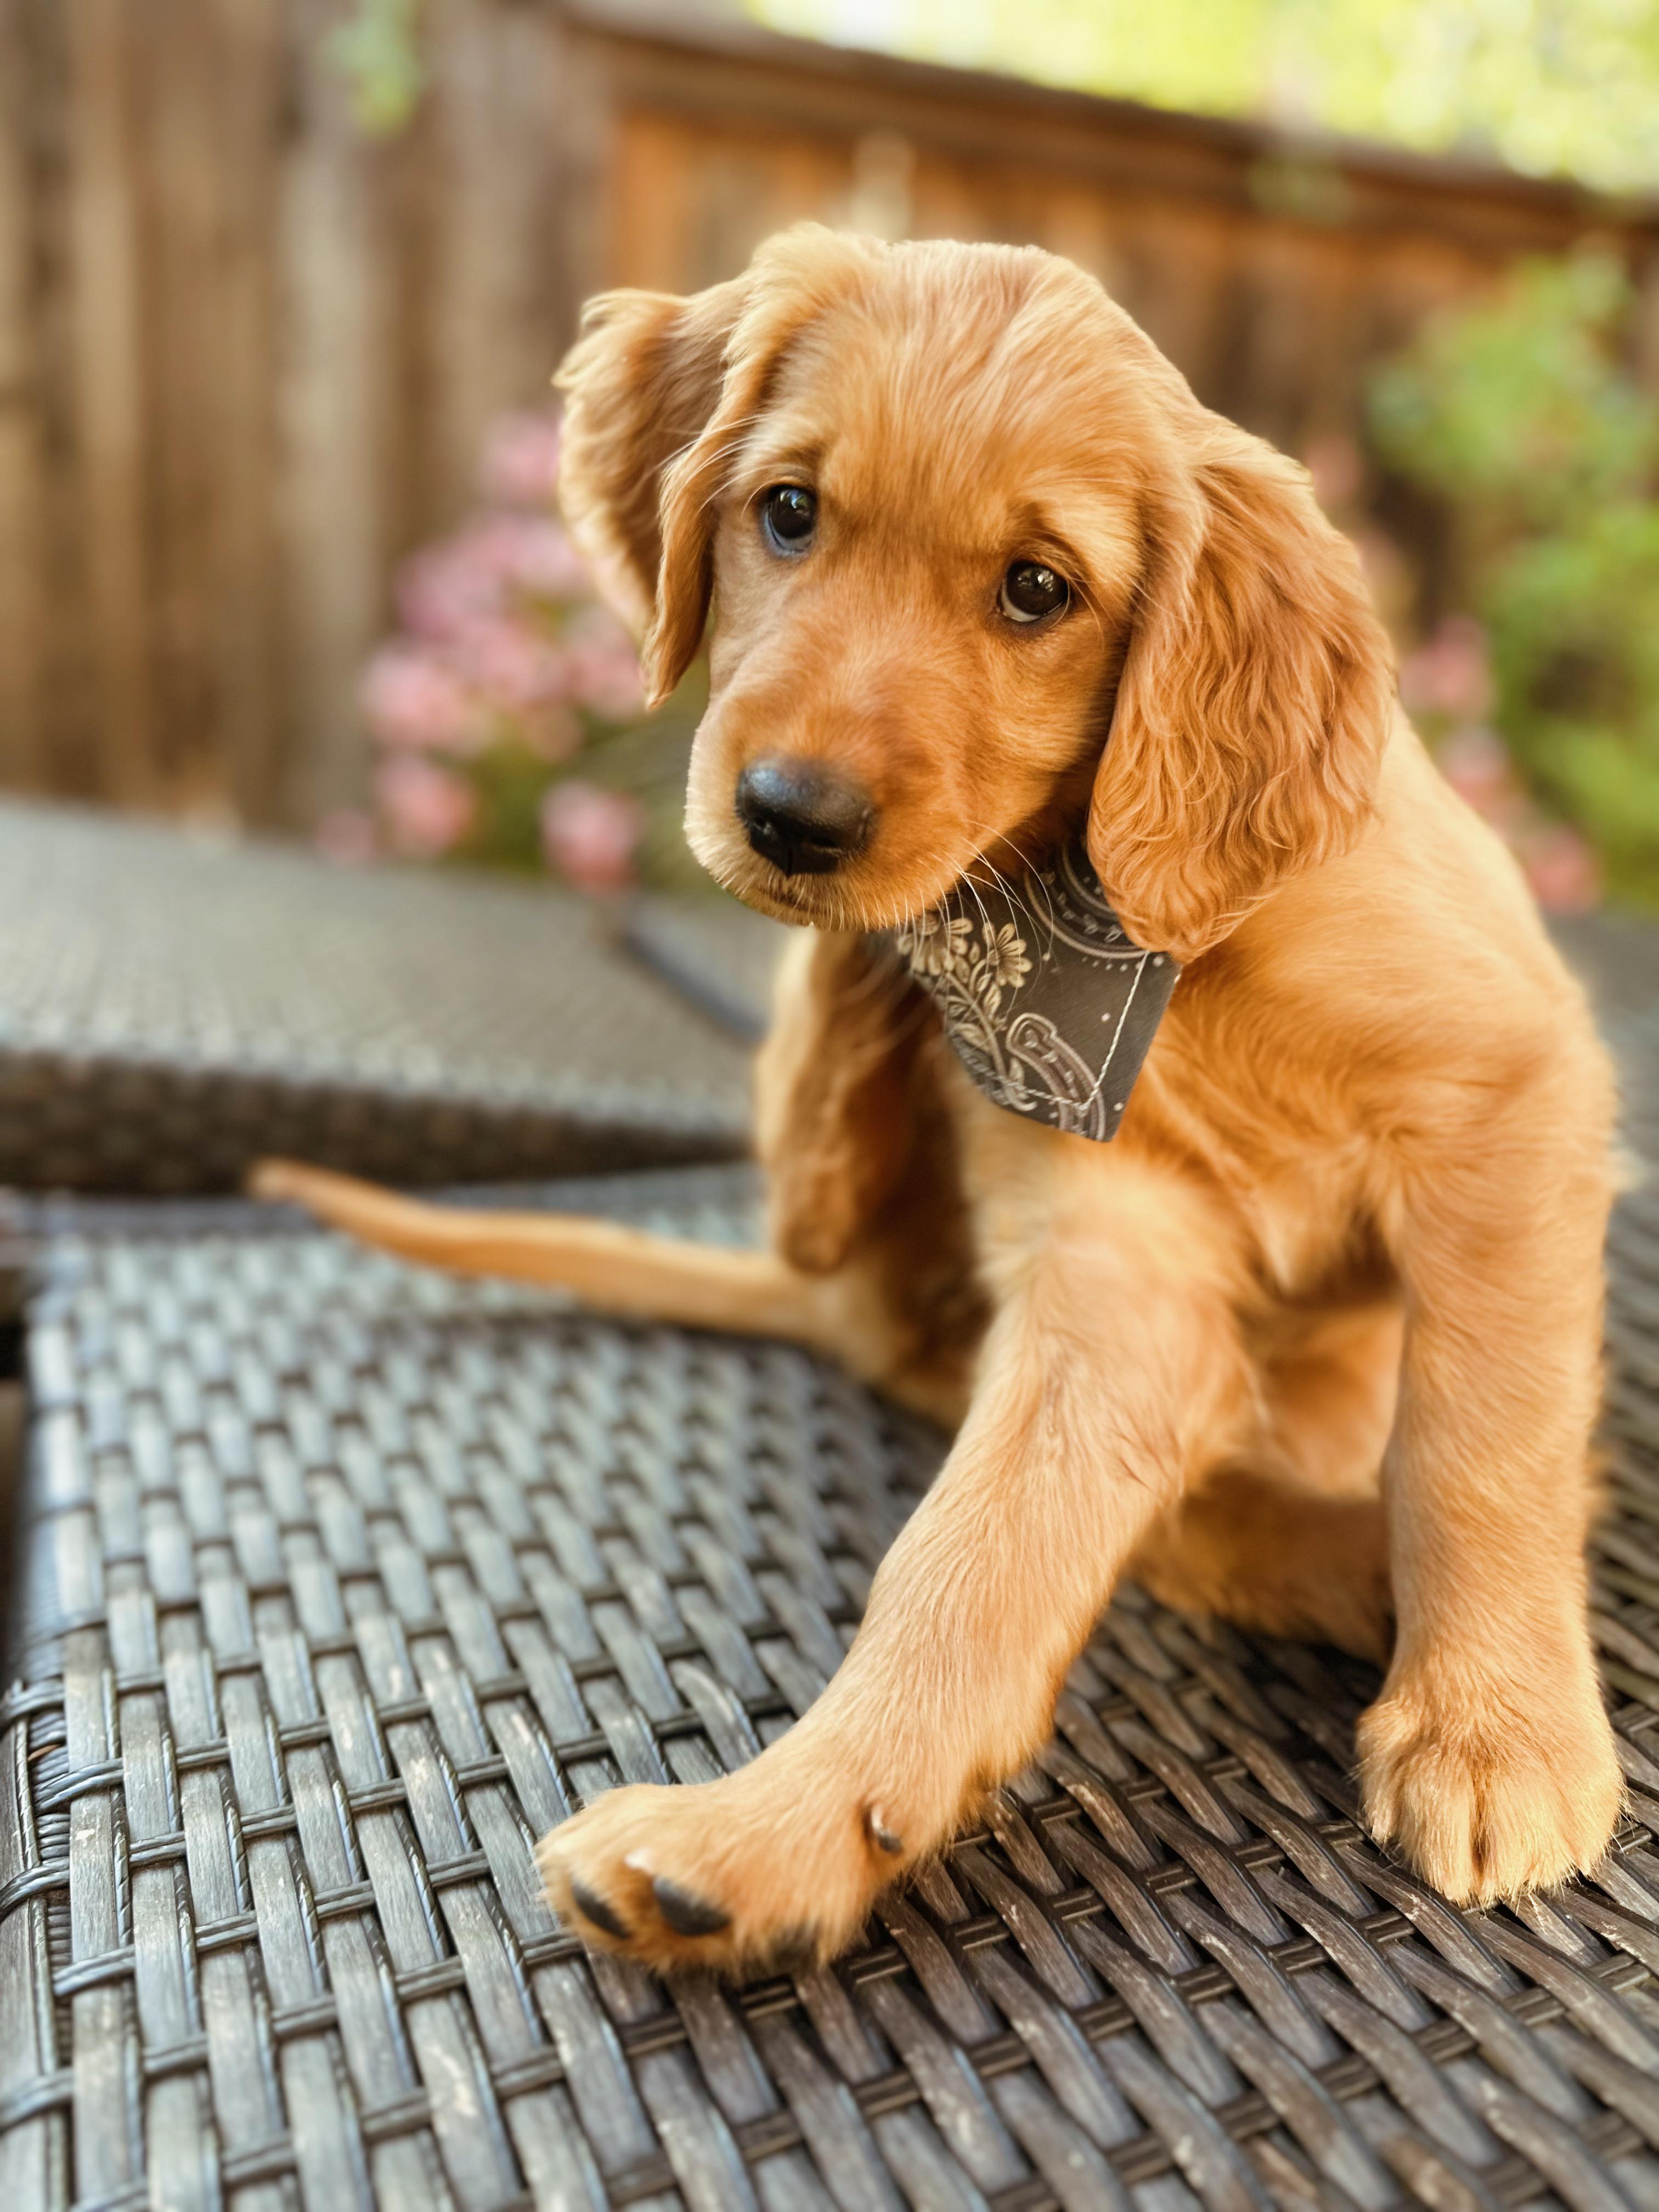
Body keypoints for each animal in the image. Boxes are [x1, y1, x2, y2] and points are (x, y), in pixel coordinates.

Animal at [256, 226, 1622, 1975]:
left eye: (1039, 588)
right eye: (787, 510)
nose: (791, 819)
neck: (1152, 943)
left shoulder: (1511, 1093)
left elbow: (1480, 1432)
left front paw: (1495, 1729)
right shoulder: (1113, 1267)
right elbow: (965, 1567)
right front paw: (772, 1833)